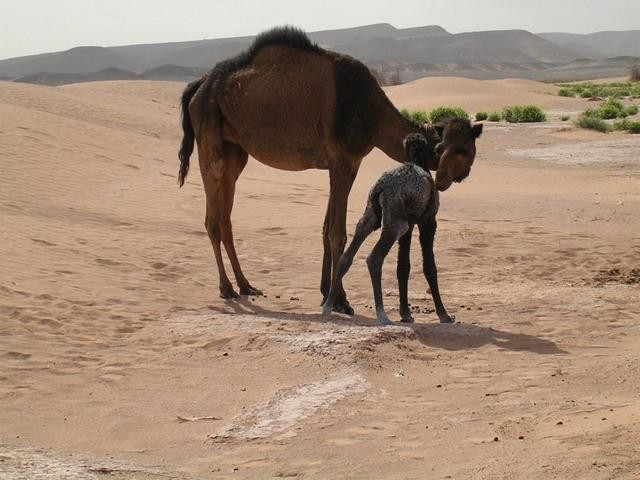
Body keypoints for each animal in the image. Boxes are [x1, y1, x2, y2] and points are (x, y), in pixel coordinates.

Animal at [324, 124, 480, 326]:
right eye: (440, 149)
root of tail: (380, 188)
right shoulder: (428, 221)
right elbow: (430, 267)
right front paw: (444, 315)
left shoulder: (410, 222)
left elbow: (403, 266)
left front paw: (406, 314)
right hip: (395, 221)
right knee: (374, 258)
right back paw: (382, 314)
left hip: (372, 215)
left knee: (348, 253)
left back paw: (328, 306)